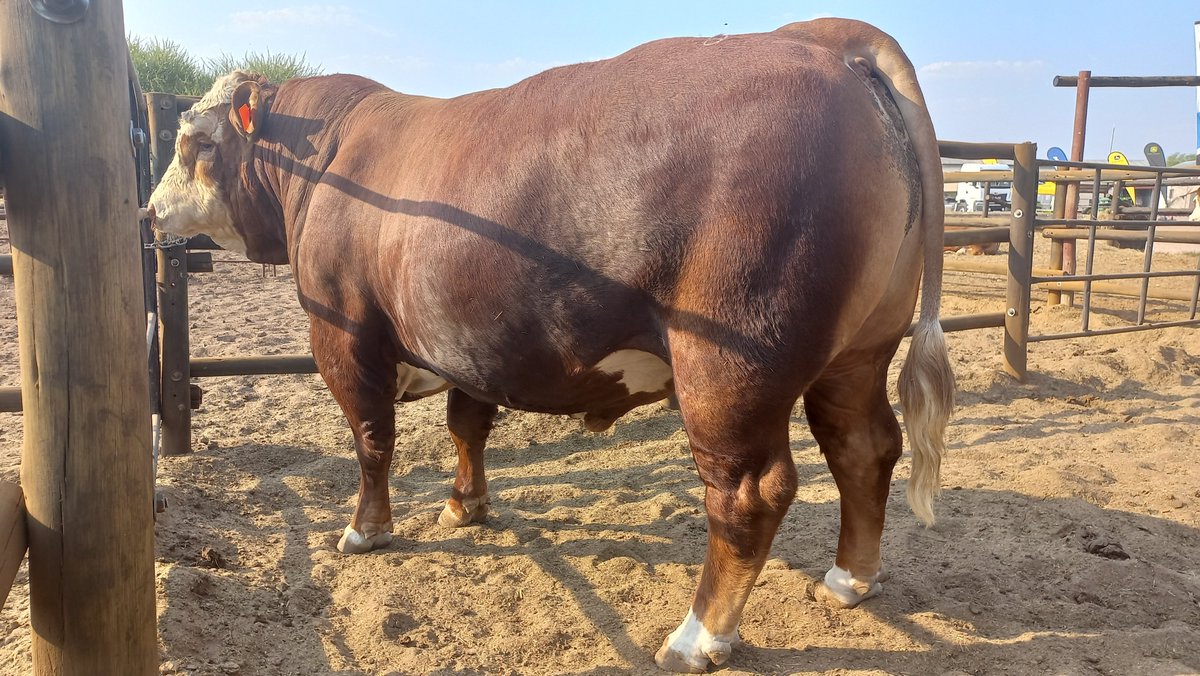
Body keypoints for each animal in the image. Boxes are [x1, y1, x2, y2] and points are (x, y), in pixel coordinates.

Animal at [148, 18, 954, 672]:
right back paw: (851, 580)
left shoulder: (344, 336)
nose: (151, 209)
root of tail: (822, 37)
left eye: (197, 143)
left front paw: (364, 531)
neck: (330, 157)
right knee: (863, 446)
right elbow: (467, 426)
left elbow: (372, 438)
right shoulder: (469, 340)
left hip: (729, 369)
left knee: (750, 492)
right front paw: (465, 506)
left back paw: (699, 637)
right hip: (859, 350)